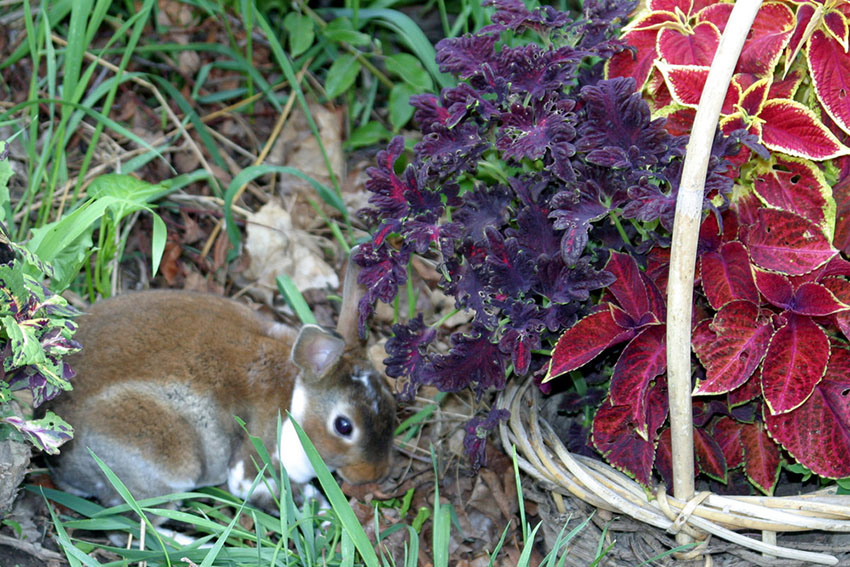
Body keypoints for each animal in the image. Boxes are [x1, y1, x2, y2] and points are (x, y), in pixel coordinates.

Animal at [43, 246, 394, 508]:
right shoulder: (256, 457)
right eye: (344, 426)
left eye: (391, 403)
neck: (297, 400)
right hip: (168, 458)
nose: (374, 475)